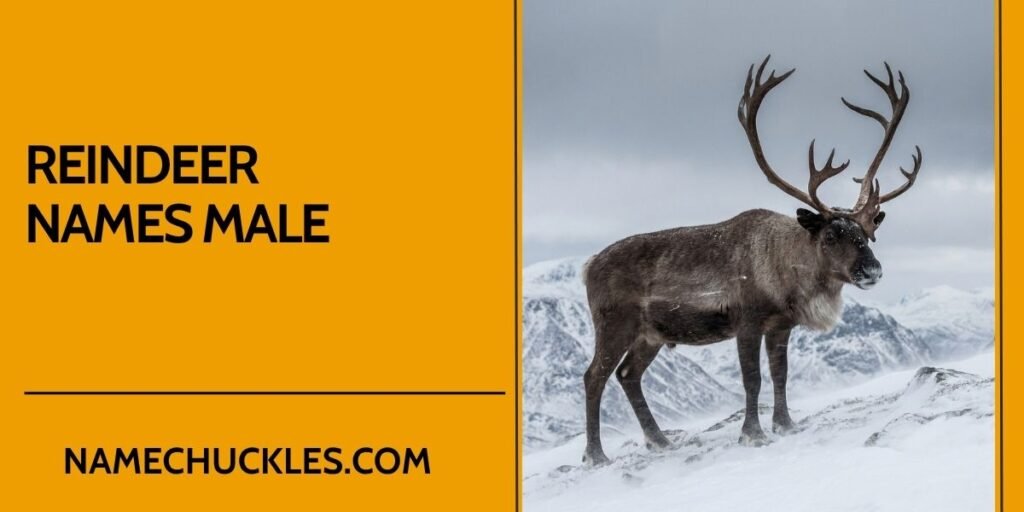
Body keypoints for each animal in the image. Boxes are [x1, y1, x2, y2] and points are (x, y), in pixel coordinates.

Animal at [580, 56, 922, 466]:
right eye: (830, 235)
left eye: (868, 233)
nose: (872, 270)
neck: (784, 269)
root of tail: (587, 267)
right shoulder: (746, 321)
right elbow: (752, 378)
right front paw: (752, 434)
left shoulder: (781, 326)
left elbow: (780, 374)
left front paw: (786, 424)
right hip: (615, 324)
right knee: (594, 376)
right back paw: (596, 455)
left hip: (652, 334)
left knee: (628, 374)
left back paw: (660, 441)